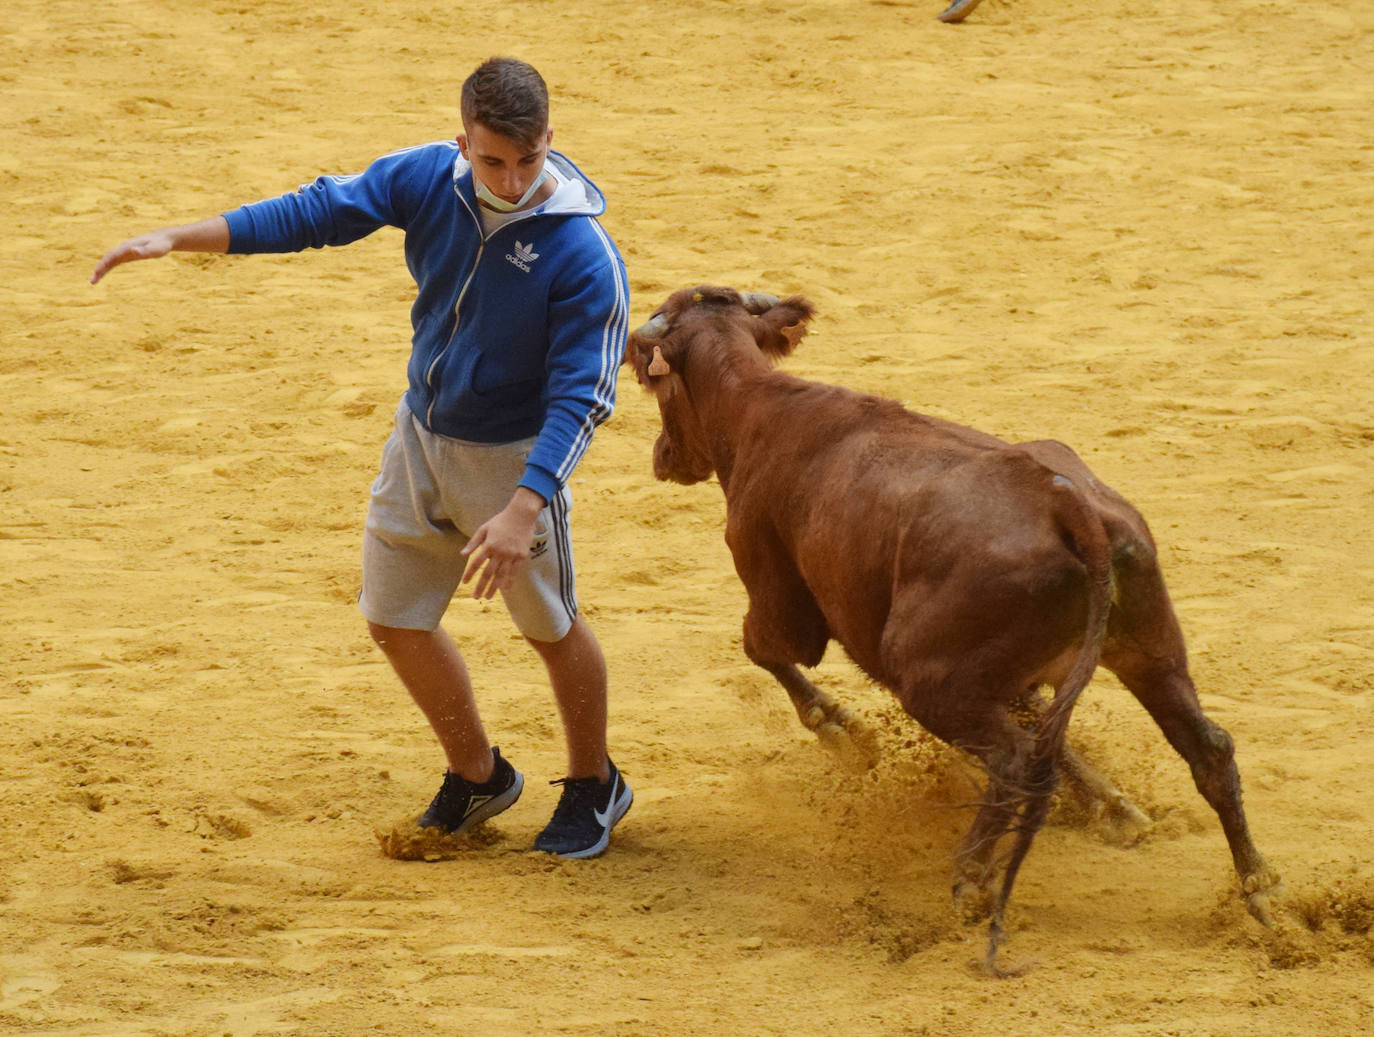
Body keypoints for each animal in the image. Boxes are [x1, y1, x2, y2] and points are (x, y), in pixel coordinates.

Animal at [629, 284, 1280, 972]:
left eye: (656, 386)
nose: (661, 456)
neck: (759, 408)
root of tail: (1065, 502)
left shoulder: (781, 599)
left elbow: (764, 650)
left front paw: (845, 733)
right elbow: (1048, 730)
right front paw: (1115, 808)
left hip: (929, 679)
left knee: (1015, 760)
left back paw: (971, 879)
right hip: (1148, 652)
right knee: (1207, 748)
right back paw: (1263, 894)